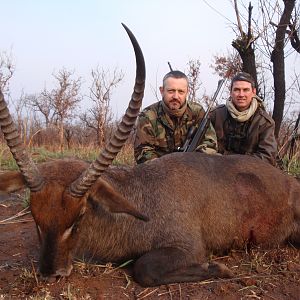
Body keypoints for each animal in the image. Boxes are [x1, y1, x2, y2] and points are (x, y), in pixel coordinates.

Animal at [0, 25, 300, 286]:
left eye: (79, 216)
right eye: (35, 216)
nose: (51, 273)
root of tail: (290, 183)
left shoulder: (188, 246)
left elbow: (144, 268)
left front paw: (218, 268)